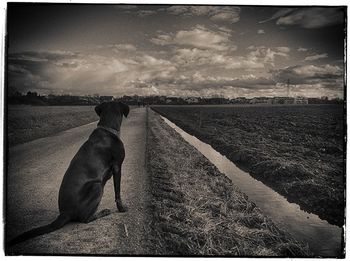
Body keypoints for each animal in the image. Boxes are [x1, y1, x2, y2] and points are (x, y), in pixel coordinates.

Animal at [8, 100, 131, 245]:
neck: (108, 129)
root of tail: (65, 213)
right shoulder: (117, 167)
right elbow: (118, 193)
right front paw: (121, 209)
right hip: (96, 186)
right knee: (84, 219)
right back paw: (103, 212)